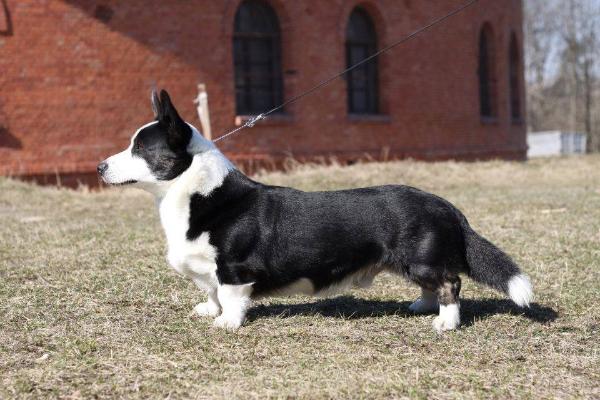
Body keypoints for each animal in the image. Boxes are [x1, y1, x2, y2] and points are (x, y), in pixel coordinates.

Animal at [98, 90, 536, 332]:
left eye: (140, 148)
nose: (100, 167)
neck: (197, 193)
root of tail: (446, 205)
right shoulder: (208, 271)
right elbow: (210, 290)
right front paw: (209, 311)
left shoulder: (234, 269)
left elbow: (230, 295)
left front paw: (227, 322)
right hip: (413, 264)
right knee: (436, 285)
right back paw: (422, 306)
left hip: (422, 260)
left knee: (450, 283)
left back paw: (445, 320)